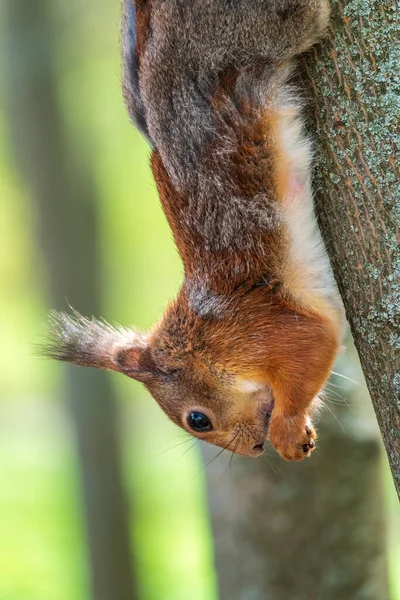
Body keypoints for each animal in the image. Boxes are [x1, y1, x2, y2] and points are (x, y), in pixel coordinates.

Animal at [44, 0, 344, 460]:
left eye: (197, 419)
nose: (255, 449)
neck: (200, 340)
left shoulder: (263, 329)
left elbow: (314, 342)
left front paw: (287, 430)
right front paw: (299, 429)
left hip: (257, 31)